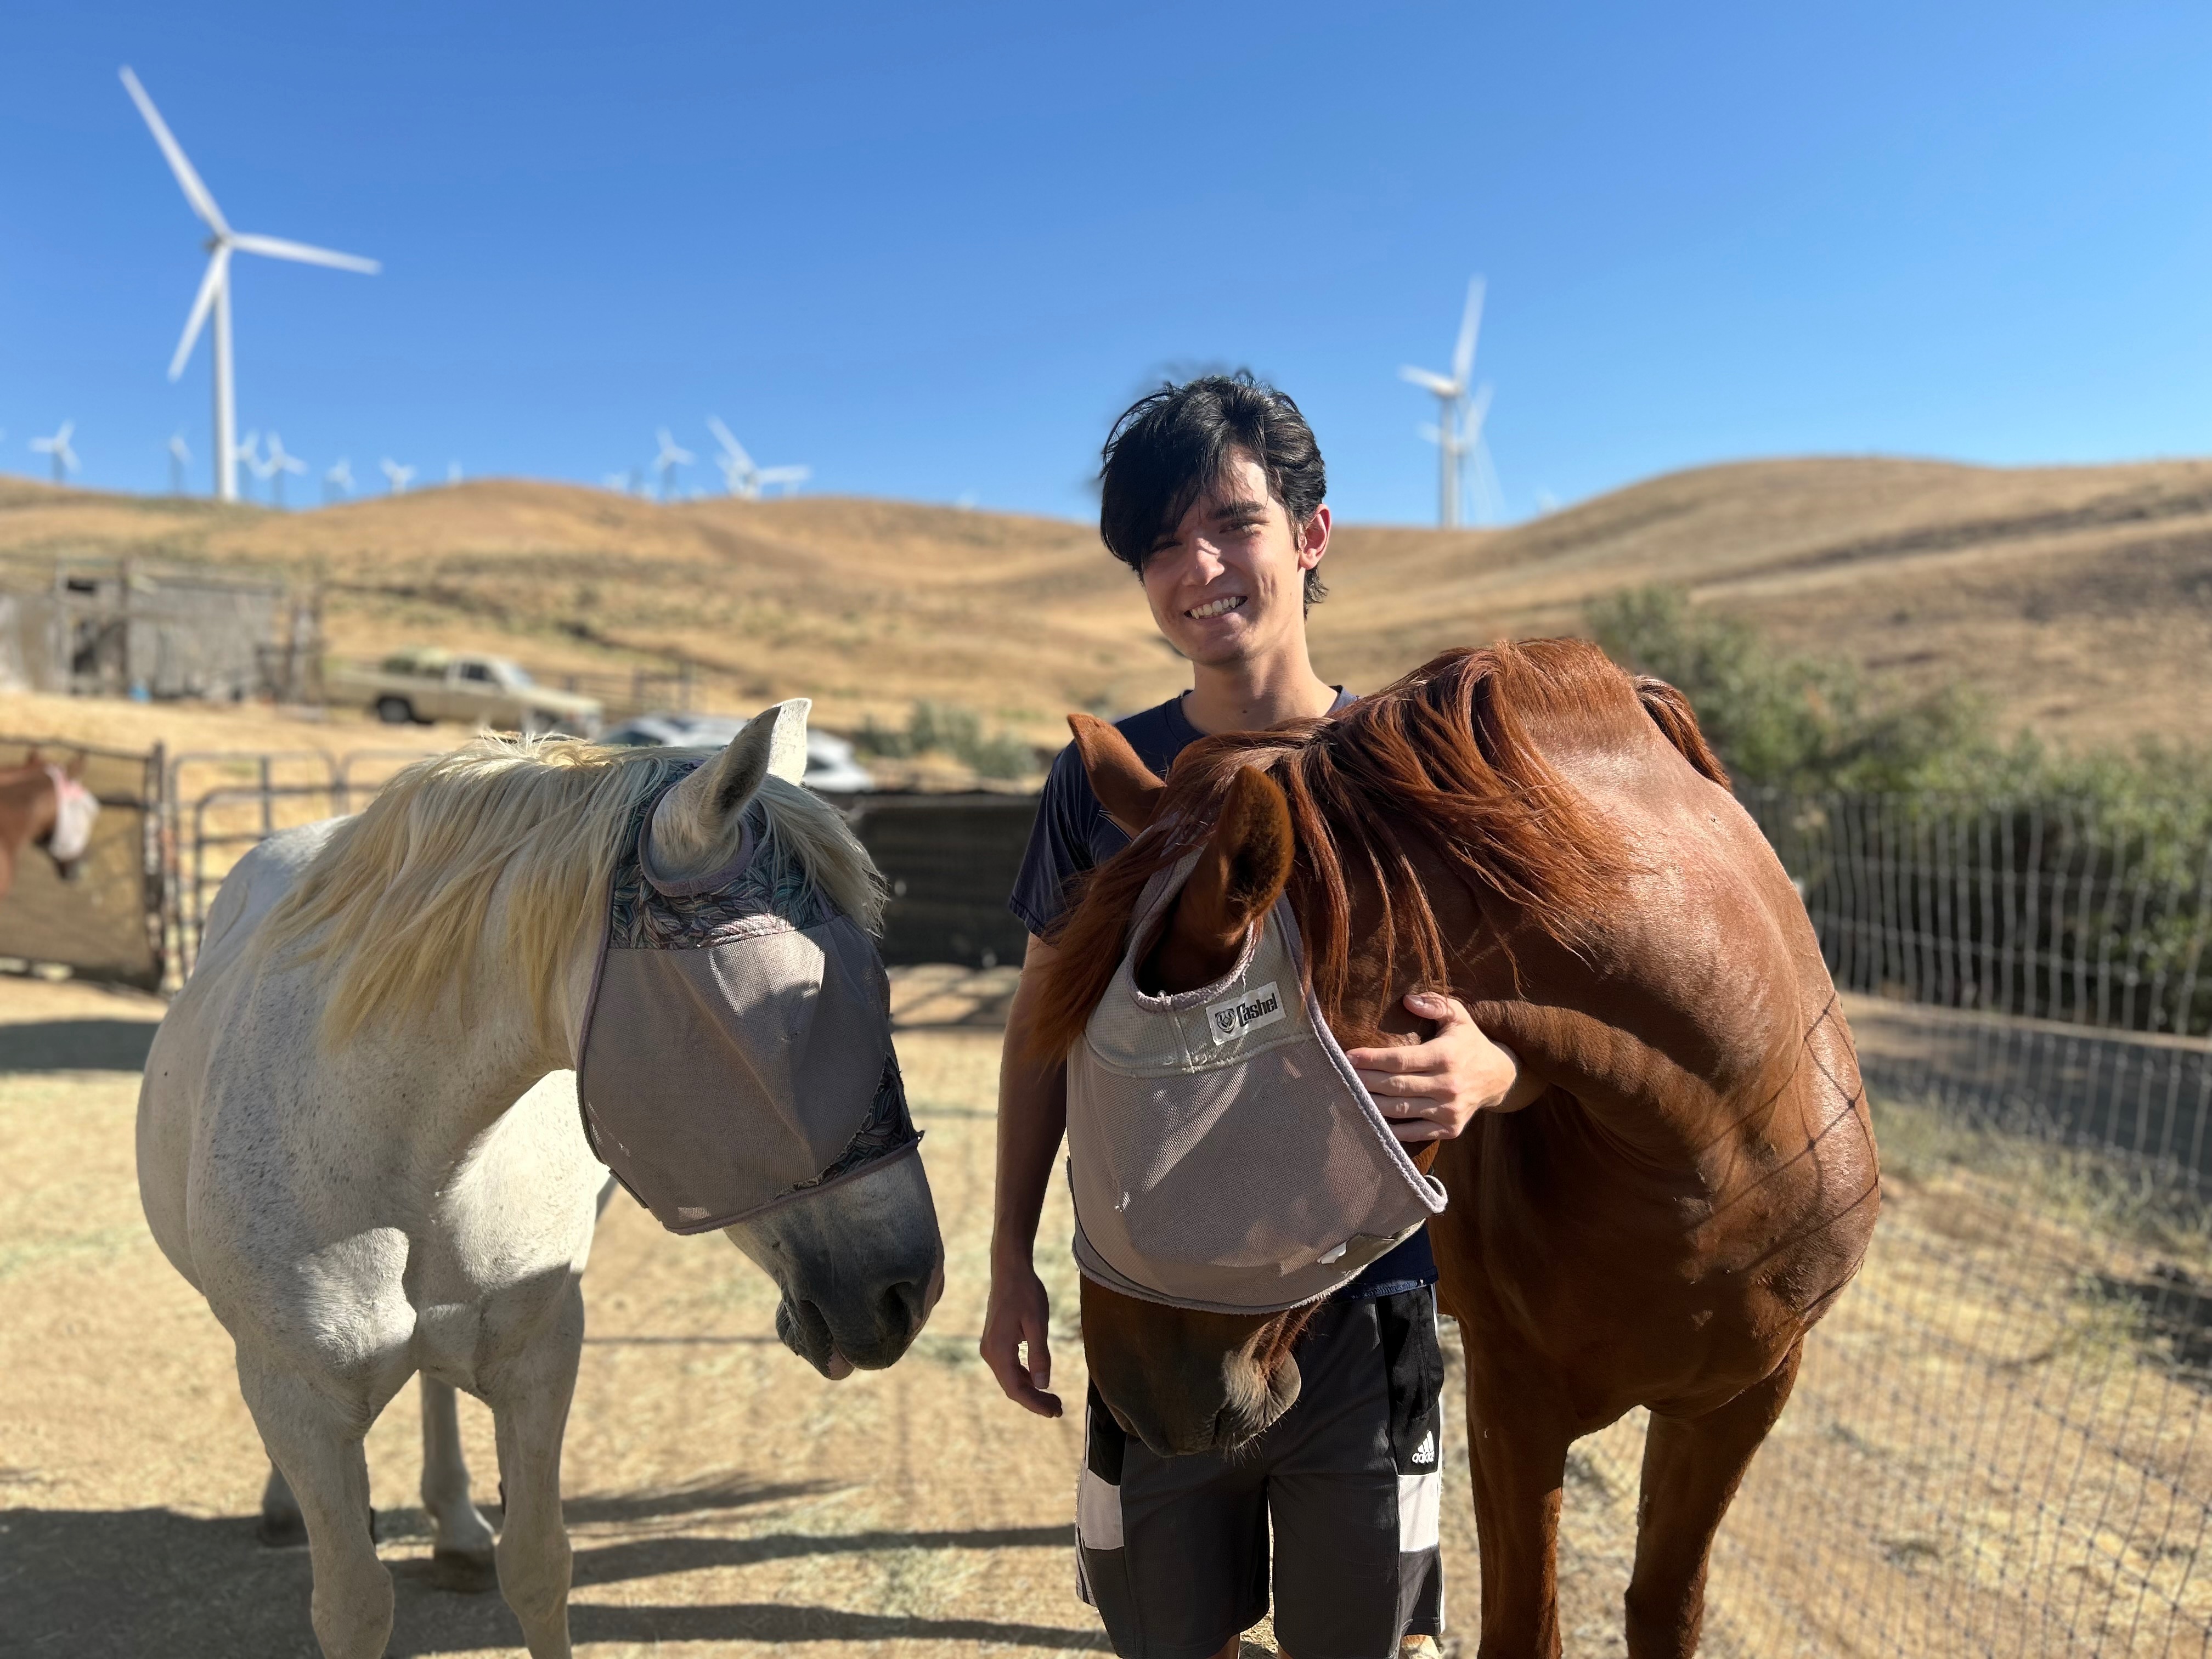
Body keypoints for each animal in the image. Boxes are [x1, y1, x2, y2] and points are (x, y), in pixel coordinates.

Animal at [137, 701, 947, 1659]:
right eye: (783, 1018)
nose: (905, 1291)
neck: (400, 1154)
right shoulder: (298, 1397)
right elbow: (353, 1604)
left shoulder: (539, 1358)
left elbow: (537, 1566)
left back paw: (453, 1529)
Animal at [1030, 639, 1879, 1659]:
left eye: (1220, 1107)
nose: (1136, 1395)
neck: (1719, 1150)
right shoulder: (1517, 1401)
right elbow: (1525, 1627)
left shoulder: (1740, 1398)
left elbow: (1664, 1607)